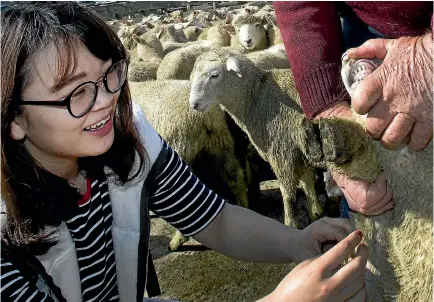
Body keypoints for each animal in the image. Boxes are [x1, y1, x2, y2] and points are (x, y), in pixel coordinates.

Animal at [128, 79, 251, 250]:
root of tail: (204, 115)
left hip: (179, 146)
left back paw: (177, 242)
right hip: (219, 142)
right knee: (235, 177)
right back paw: (244, 209)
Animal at [188, 49, 328, 226]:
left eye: (214, 75)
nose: (194, 104)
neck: (254, 97)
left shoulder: (281, 152)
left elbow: (288, 193)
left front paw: (291, 223)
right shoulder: (299, 151)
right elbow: (307, 181)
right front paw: (316, 214)